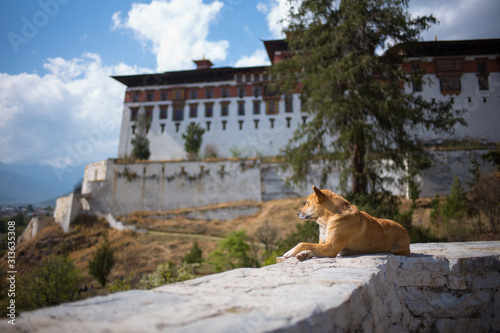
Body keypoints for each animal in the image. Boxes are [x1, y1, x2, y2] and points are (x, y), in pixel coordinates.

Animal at [284, 184, 412, 260]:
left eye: (307, 203)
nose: (297, 213)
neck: (326, 221)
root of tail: (405, 231)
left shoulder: (331, 248)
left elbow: (303, 243)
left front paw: (290, 252)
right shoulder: (323, 244)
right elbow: (311, 247)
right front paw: (304, 253)